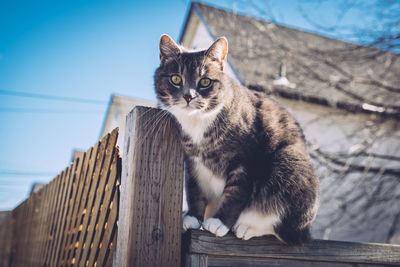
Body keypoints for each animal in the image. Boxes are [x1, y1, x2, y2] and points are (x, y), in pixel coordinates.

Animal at [152, 34, 318, 246]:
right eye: (175, 79)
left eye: (205, 82)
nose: (188, 96)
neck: (198, 123)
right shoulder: (192, 161)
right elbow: (194, 189)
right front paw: (192, 217)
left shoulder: (246, 159)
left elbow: (236, 193)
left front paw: (219, 222)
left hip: (291, 164)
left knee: (286, 231)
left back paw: (247, 227)